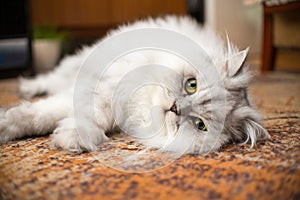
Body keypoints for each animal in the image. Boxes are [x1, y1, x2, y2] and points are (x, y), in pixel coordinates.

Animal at [0, 16, 270, 155]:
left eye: (200, 125)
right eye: (191, 85)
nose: (175, 107)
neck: (138, 105)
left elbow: (59, 116)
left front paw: (71, 137)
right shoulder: (101, 87)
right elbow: (43, 114)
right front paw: (7, 125)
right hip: (74, 65)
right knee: (49, 80)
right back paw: (27, 86)